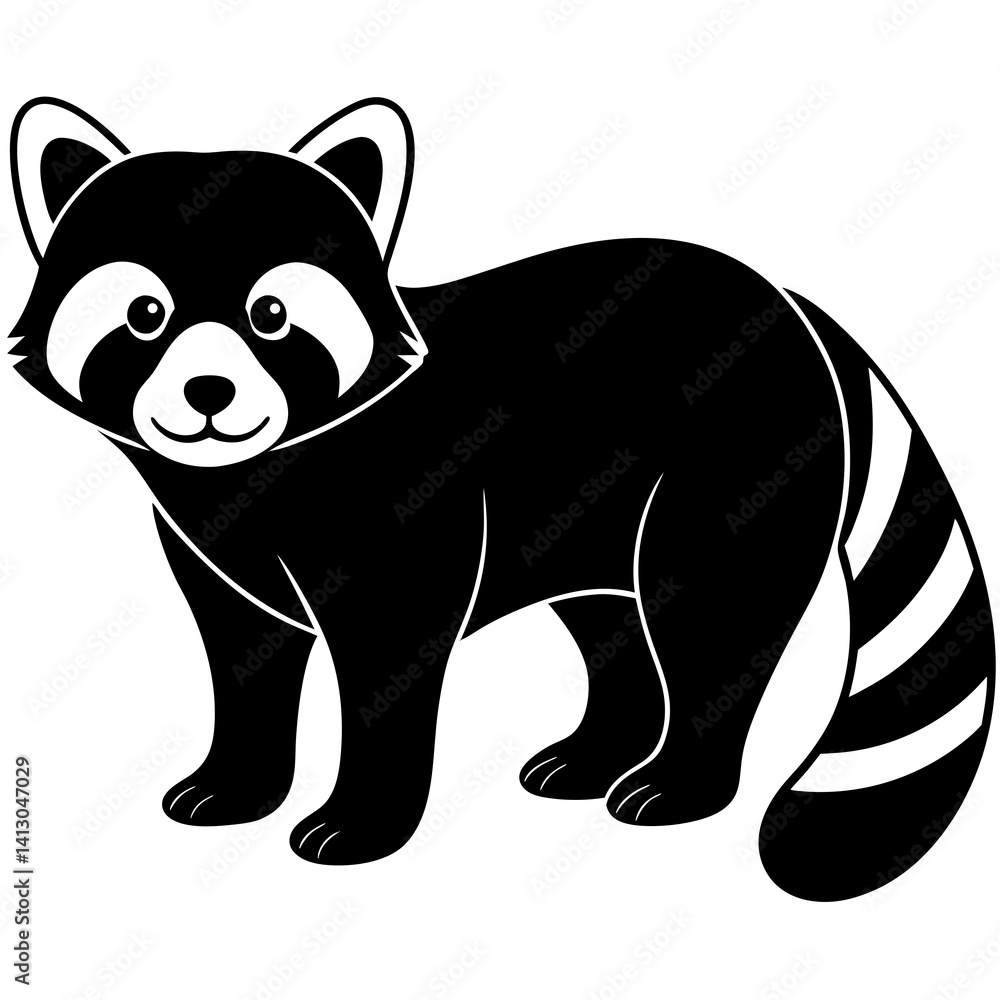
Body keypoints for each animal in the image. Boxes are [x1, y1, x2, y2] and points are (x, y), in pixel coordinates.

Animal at [8, 96, 993, 900]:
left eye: (271, 318)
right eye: (145, 315)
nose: (207, 393)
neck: (250, 473)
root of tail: (785, 300)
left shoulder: (403, 513)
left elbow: (391, 663)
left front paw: (361, 818)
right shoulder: (210, 547)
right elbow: (245, 655)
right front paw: (238, 780)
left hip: (736, 464)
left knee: (711, 620)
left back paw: (680, 781)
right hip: (592, 512)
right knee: (613, 625)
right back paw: (597, 753)